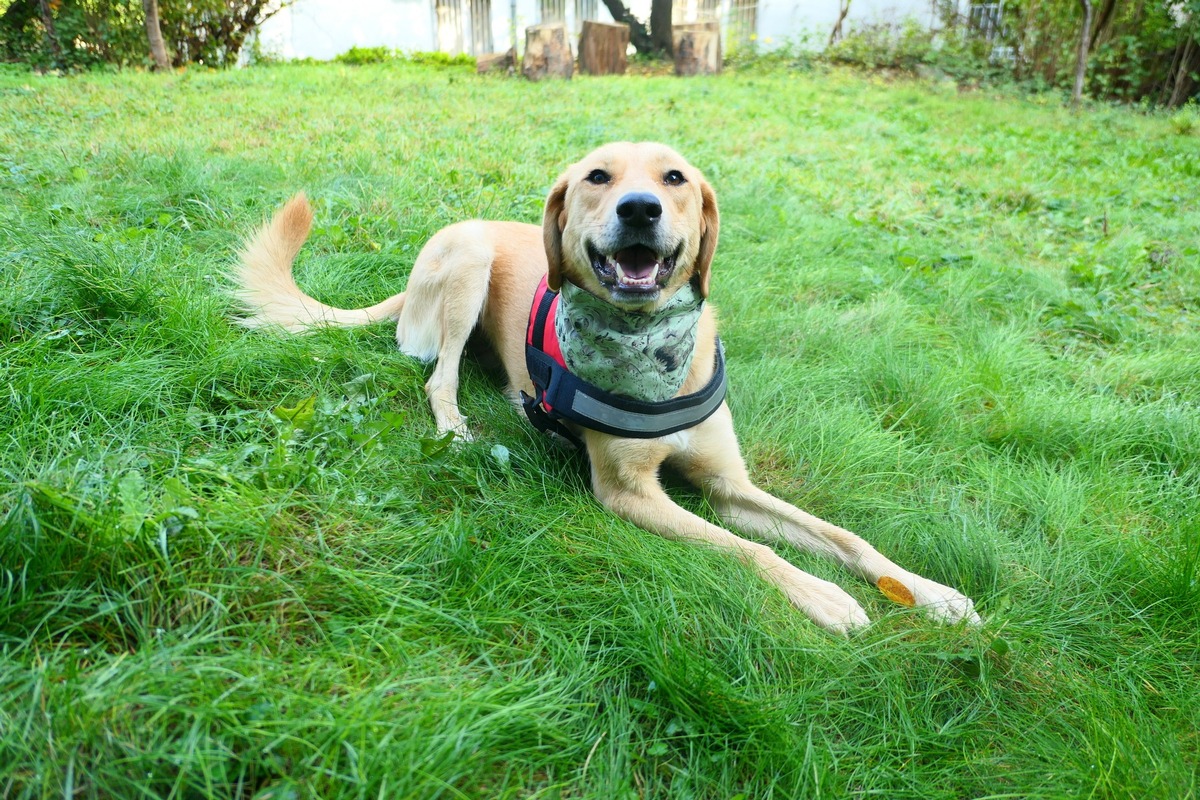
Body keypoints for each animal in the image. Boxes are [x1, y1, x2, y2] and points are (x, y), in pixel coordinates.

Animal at [231, 140, 974, 633]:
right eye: (597, 176)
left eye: (675, 179)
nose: (640, 209)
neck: (653, 355)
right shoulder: (628, 493)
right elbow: (749, 548)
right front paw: (824, 596)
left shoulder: (730, 486)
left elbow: (844, 538)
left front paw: (930, 593)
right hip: (466, 264)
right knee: (439, 379)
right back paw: (458, 428)